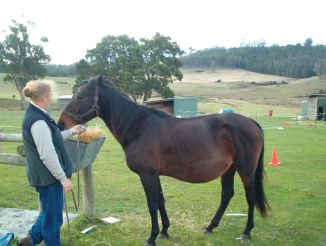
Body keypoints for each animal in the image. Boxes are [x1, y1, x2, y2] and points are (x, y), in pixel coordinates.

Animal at [57, 76, 268, 245]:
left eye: (81, 96)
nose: (61, 124)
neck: (138, 127)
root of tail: (252, 123)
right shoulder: (154, 175)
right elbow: (160, 201)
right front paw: (165, 231)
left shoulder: (147, 175)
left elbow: (152, 204)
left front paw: (151, 237)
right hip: (229, 169)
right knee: (226, 195)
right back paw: (210, 226)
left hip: (245, 170)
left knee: (250, 197)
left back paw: (246, 232)